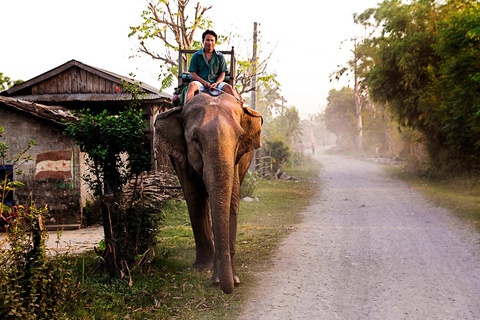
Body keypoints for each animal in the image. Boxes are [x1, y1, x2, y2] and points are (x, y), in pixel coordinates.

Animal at [156, 91, 262, 294]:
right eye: (195, 139)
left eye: (239, 138)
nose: (224, 287)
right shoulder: (182, 158)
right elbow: (194, 198)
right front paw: (202, 269)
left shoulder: (236, 160)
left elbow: (231, 200)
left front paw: (233, 278)